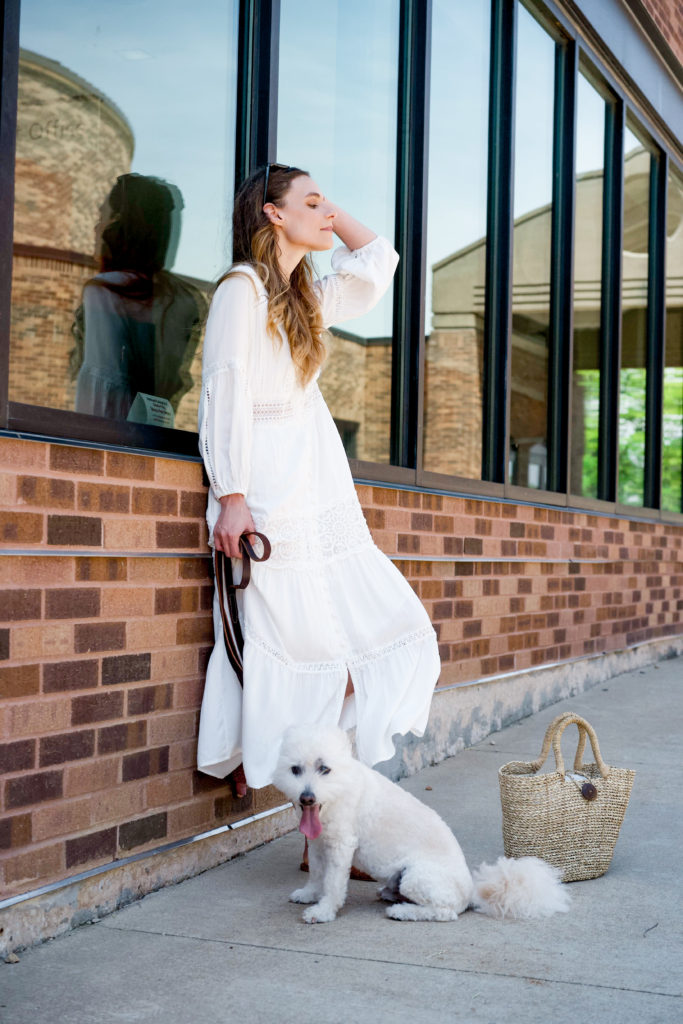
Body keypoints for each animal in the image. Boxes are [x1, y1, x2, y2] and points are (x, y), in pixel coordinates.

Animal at [274, 720, 573, 929]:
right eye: (295, 770)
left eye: (325, 769)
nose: (307, 797)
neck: (339, 790)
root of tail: (471, 892)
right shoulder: (318, 843)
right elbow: (316, 873)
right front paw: (310, 894)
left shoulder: (341, 847)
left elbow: (333, 884)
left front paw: (323, 911)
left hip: (416, 876)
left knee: (445, 913)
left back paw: (402, 912)